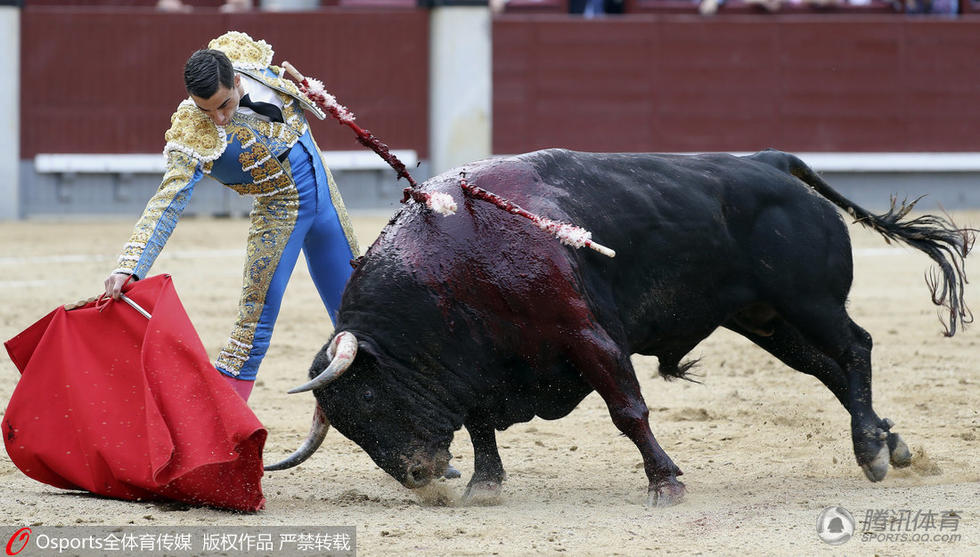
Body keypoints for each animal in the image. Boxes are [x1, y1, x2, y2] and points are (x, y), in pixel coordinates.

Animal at [262, 148, 972, 504]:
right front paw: (486, 485)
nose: (419, 478)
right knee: (828, 369)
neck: (455, 260)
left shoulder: (590, 337)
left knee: (854, 350)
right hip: (765, 320)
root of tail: (768, 161)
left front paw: (667, 484)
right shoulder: (486, 363)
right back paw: (888, 442)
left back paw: (871, 450)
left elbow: (628, 410)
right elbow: (481, 420)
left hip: (809, 302)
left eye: (371, 400)